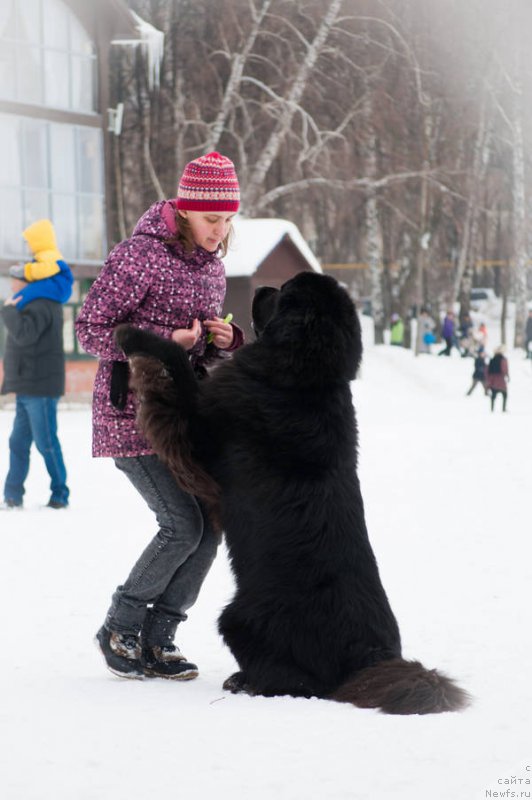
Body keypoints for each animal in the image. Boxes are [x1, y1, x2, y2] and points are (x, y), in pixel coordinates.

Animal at [114, 270, 468, 712]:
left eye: (284, 292)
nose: (262, 286)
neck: (303, 382)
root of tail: (369, 659)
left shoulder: (198, 434)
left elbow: (175, 364)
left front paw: (135, 336)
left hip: (237, 618)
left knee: (295, 682)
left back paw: (244, 681)